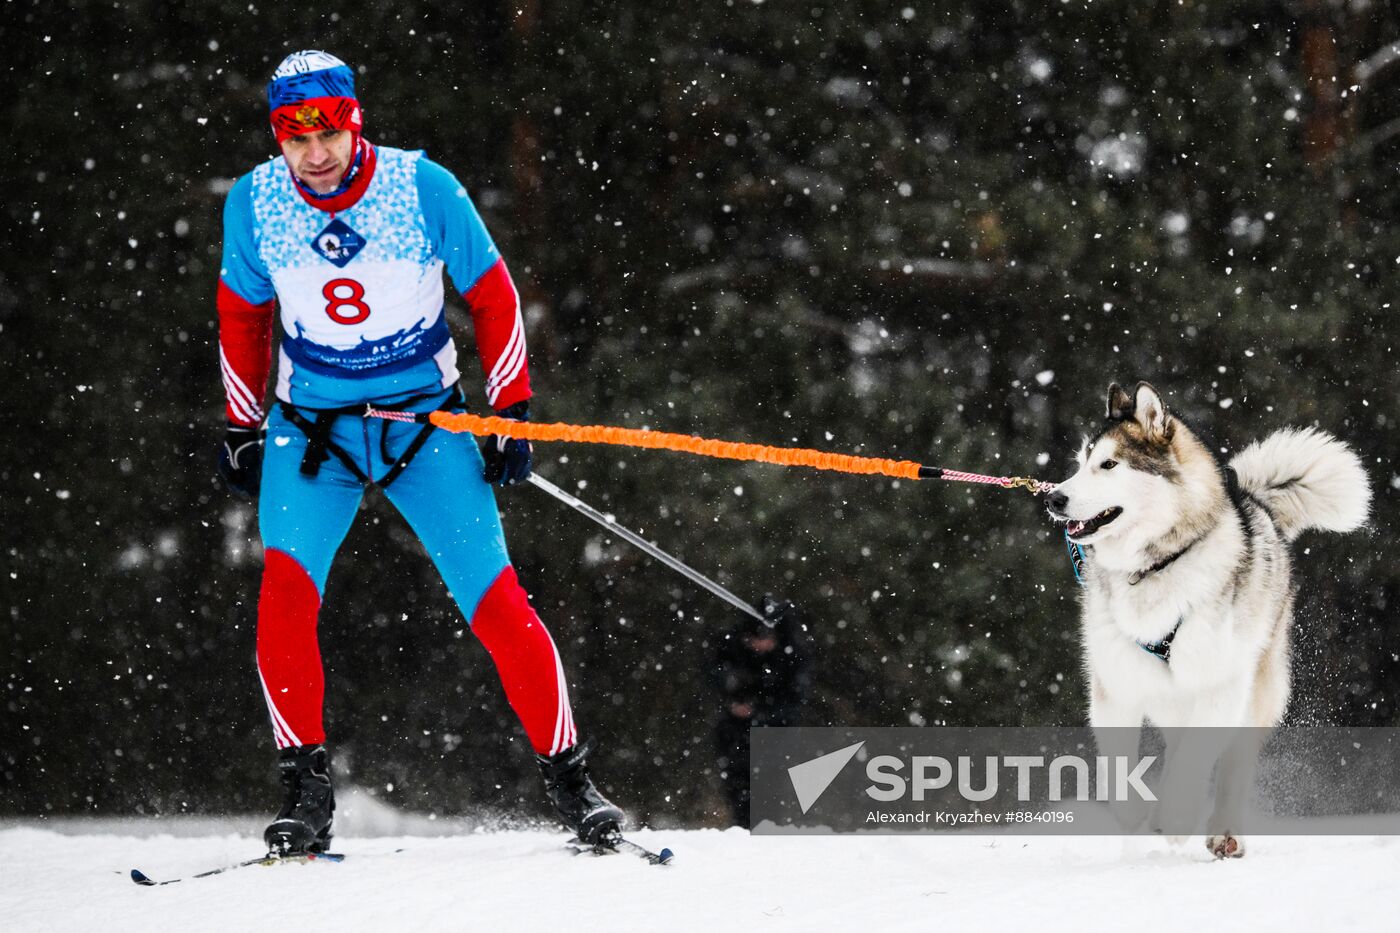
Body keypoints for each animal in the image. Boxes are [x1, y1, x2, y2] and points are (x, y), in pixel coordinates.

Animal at [1052, 381, 1366, 851]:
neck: (1156, 567)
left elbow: (1197, 759)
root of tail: (1256, 502)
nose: (1053, 497)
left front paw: (1179, 817)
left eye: (1108, 464)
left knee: (1233, 763)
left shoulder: (1222, 682)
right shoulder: (1116, 688)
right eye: (1080, 463)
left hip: (1255, 690)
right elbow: (1120, 767)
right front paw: (1137, 815)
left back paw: (1223, 831)